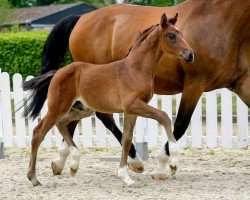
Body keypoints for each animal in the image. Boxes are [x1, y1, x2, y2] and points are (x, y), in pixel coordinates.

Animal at [24, 13, 193, 186]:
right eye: (171, 36)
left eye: (181, 33)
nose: (190, 54)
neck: (135, 69)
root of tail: (57, 72)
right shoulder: (133, 105)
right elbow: (164, 117)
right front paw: (173, 163)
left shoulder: (131, 111)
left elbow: (126, 139)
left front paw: (125, 176)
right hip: (57, 108)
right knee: (38, 132)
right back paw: (34, 178)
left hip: (83, 109)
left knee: (62, 123)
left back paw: (73, 164)